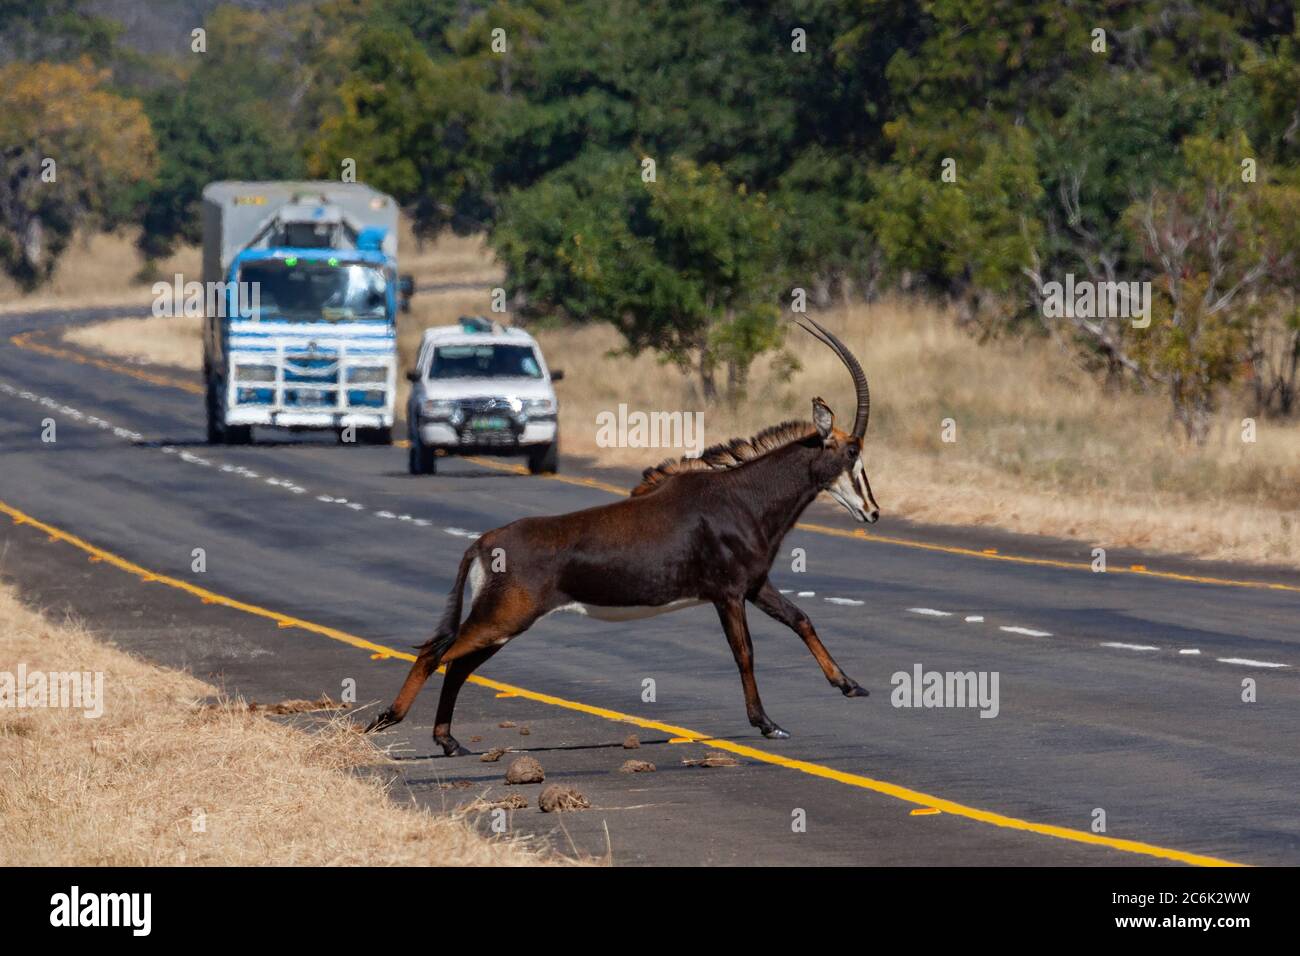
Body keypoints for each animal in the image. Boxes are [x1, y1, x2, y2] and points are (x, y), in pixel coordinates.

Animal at [367, 317, 880, 753]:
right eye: (851, 453)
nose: (873, 511)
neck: (742, 496)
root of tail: (482, 543)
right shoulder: (730, 593)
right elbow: (745, 653)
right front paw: (767, 723)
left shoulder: (755, 585)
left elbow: (801, 619)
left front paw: (850, 685)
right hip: (503, 619)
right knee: (436, 654)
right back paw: (386, 720)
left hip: (502, 626)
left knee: (456, 663)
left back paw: (449, 741)